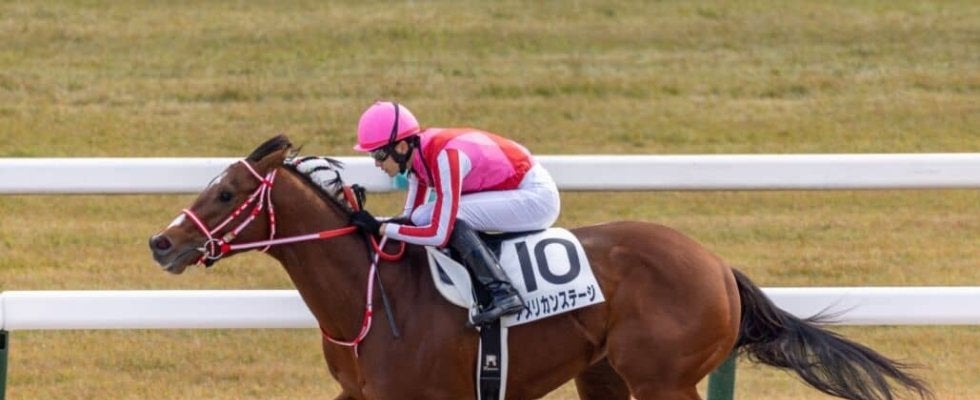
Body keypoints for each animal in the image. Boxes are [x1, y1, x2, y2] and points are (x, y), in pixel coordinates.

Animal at [148, 135, 931, 400]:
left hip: (663, 380)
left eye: (226, 193)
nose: (162, 242)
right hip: (603, 376)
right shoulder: (360, 395)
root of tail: (715, 263)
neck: (369, 301)